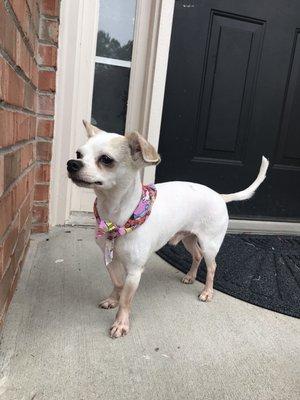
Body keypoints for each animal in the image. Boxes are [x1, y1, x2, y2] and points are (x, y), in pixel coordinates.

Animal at [67, 121, 268, 338]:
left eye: (106, 159)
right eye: (79, 154)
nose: (72, 163)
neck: (116, 217)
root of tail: (220, 196)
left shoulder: (134, 272)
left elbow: (126, 301)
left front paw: (121, 323)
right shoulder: (110, 261)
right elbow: (117, 283)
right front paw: (113, 299)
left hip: (210, 245)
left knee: (212, 266)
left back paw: (207, 292)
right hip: (189, 239)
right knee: (196, 256)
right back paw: (190, 276)